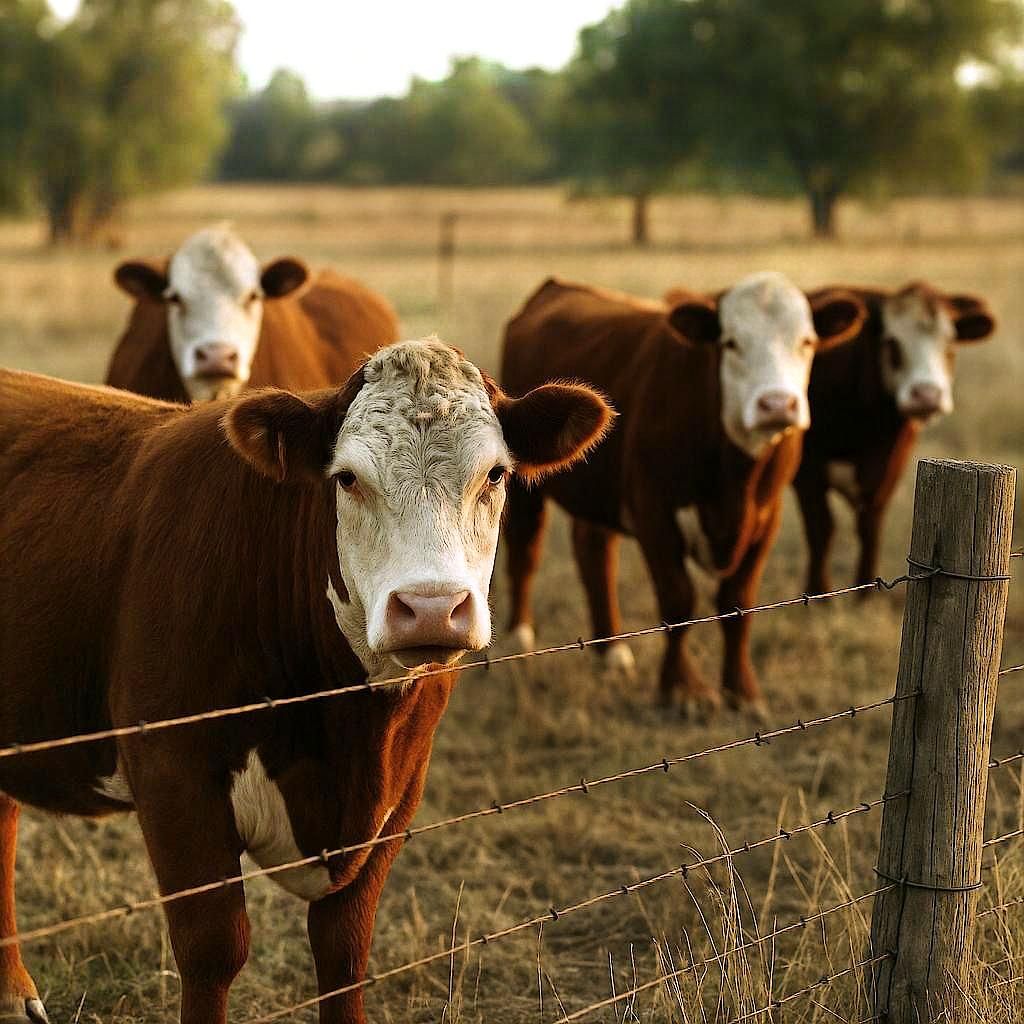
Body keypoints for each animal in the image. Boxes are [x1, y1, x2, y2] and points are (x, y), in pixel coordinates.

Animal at [0, 339, 612, 1024]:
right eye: (346, 478)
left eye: (496, 474)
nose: (430, 607)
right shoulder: (171, 771)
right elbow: (214, 946)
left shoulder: (401, 788)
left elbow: (344, 948)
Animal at [501, 274, 865, 719]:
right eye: (730, 342)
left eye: (807, 341)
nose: (777, 404)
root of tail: (557, 286)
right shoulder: (655, 514)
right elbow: (677, 600)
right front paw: (682, 689)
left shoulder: (767, 518)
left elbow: (738, 602)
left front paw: (742, 691)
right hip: (523, 486)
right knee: (525, 551)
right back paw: (519, 638)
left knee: (594, 552)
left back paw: (611, 651)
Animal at [795, 281, 996, 595]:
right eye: (892, 342)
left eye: (950, 343)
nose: (927, 395)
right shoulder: (807, 469)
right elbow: (821, 529)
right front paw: (819, 592)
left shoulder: (888, 466)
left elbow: (870, 525)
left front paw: (864, 595)